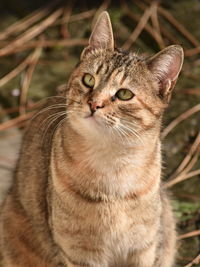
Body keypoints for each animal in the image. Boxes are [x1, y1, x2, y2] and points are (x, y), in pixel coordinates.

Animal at [0, 11, 184, 267]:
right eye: (89, 80)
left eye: (124, 94)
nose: (94, 103)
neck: (113, 165)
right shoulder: (79, 253)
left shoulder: (144, 248)